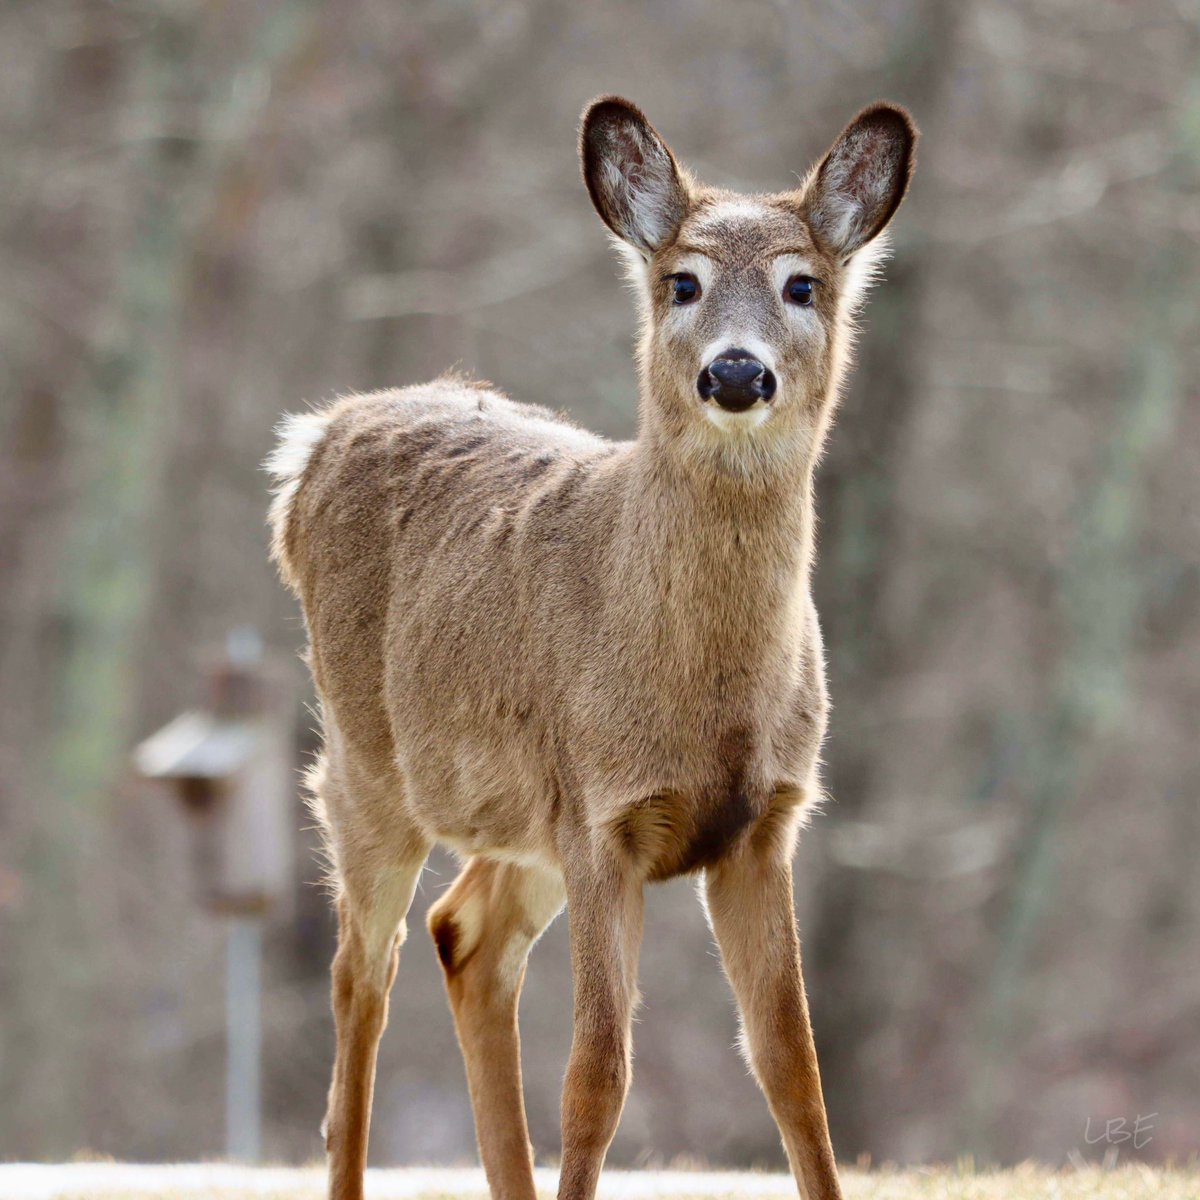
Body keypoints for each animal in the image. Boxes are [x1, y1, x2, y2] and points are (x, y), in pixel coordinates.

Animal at [267, 96, 912, 1200]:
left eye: (803, 284)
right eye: (681, 282)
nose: (735, 371)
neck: (705, 695)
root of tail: (315, 440)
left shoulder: (762, 825)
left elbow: (793, 1068)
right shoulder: (602, 816)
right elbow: (598, 1075)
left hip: (516, 816)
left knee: (464, 936)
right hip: (368, 764)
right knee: (362, 973)